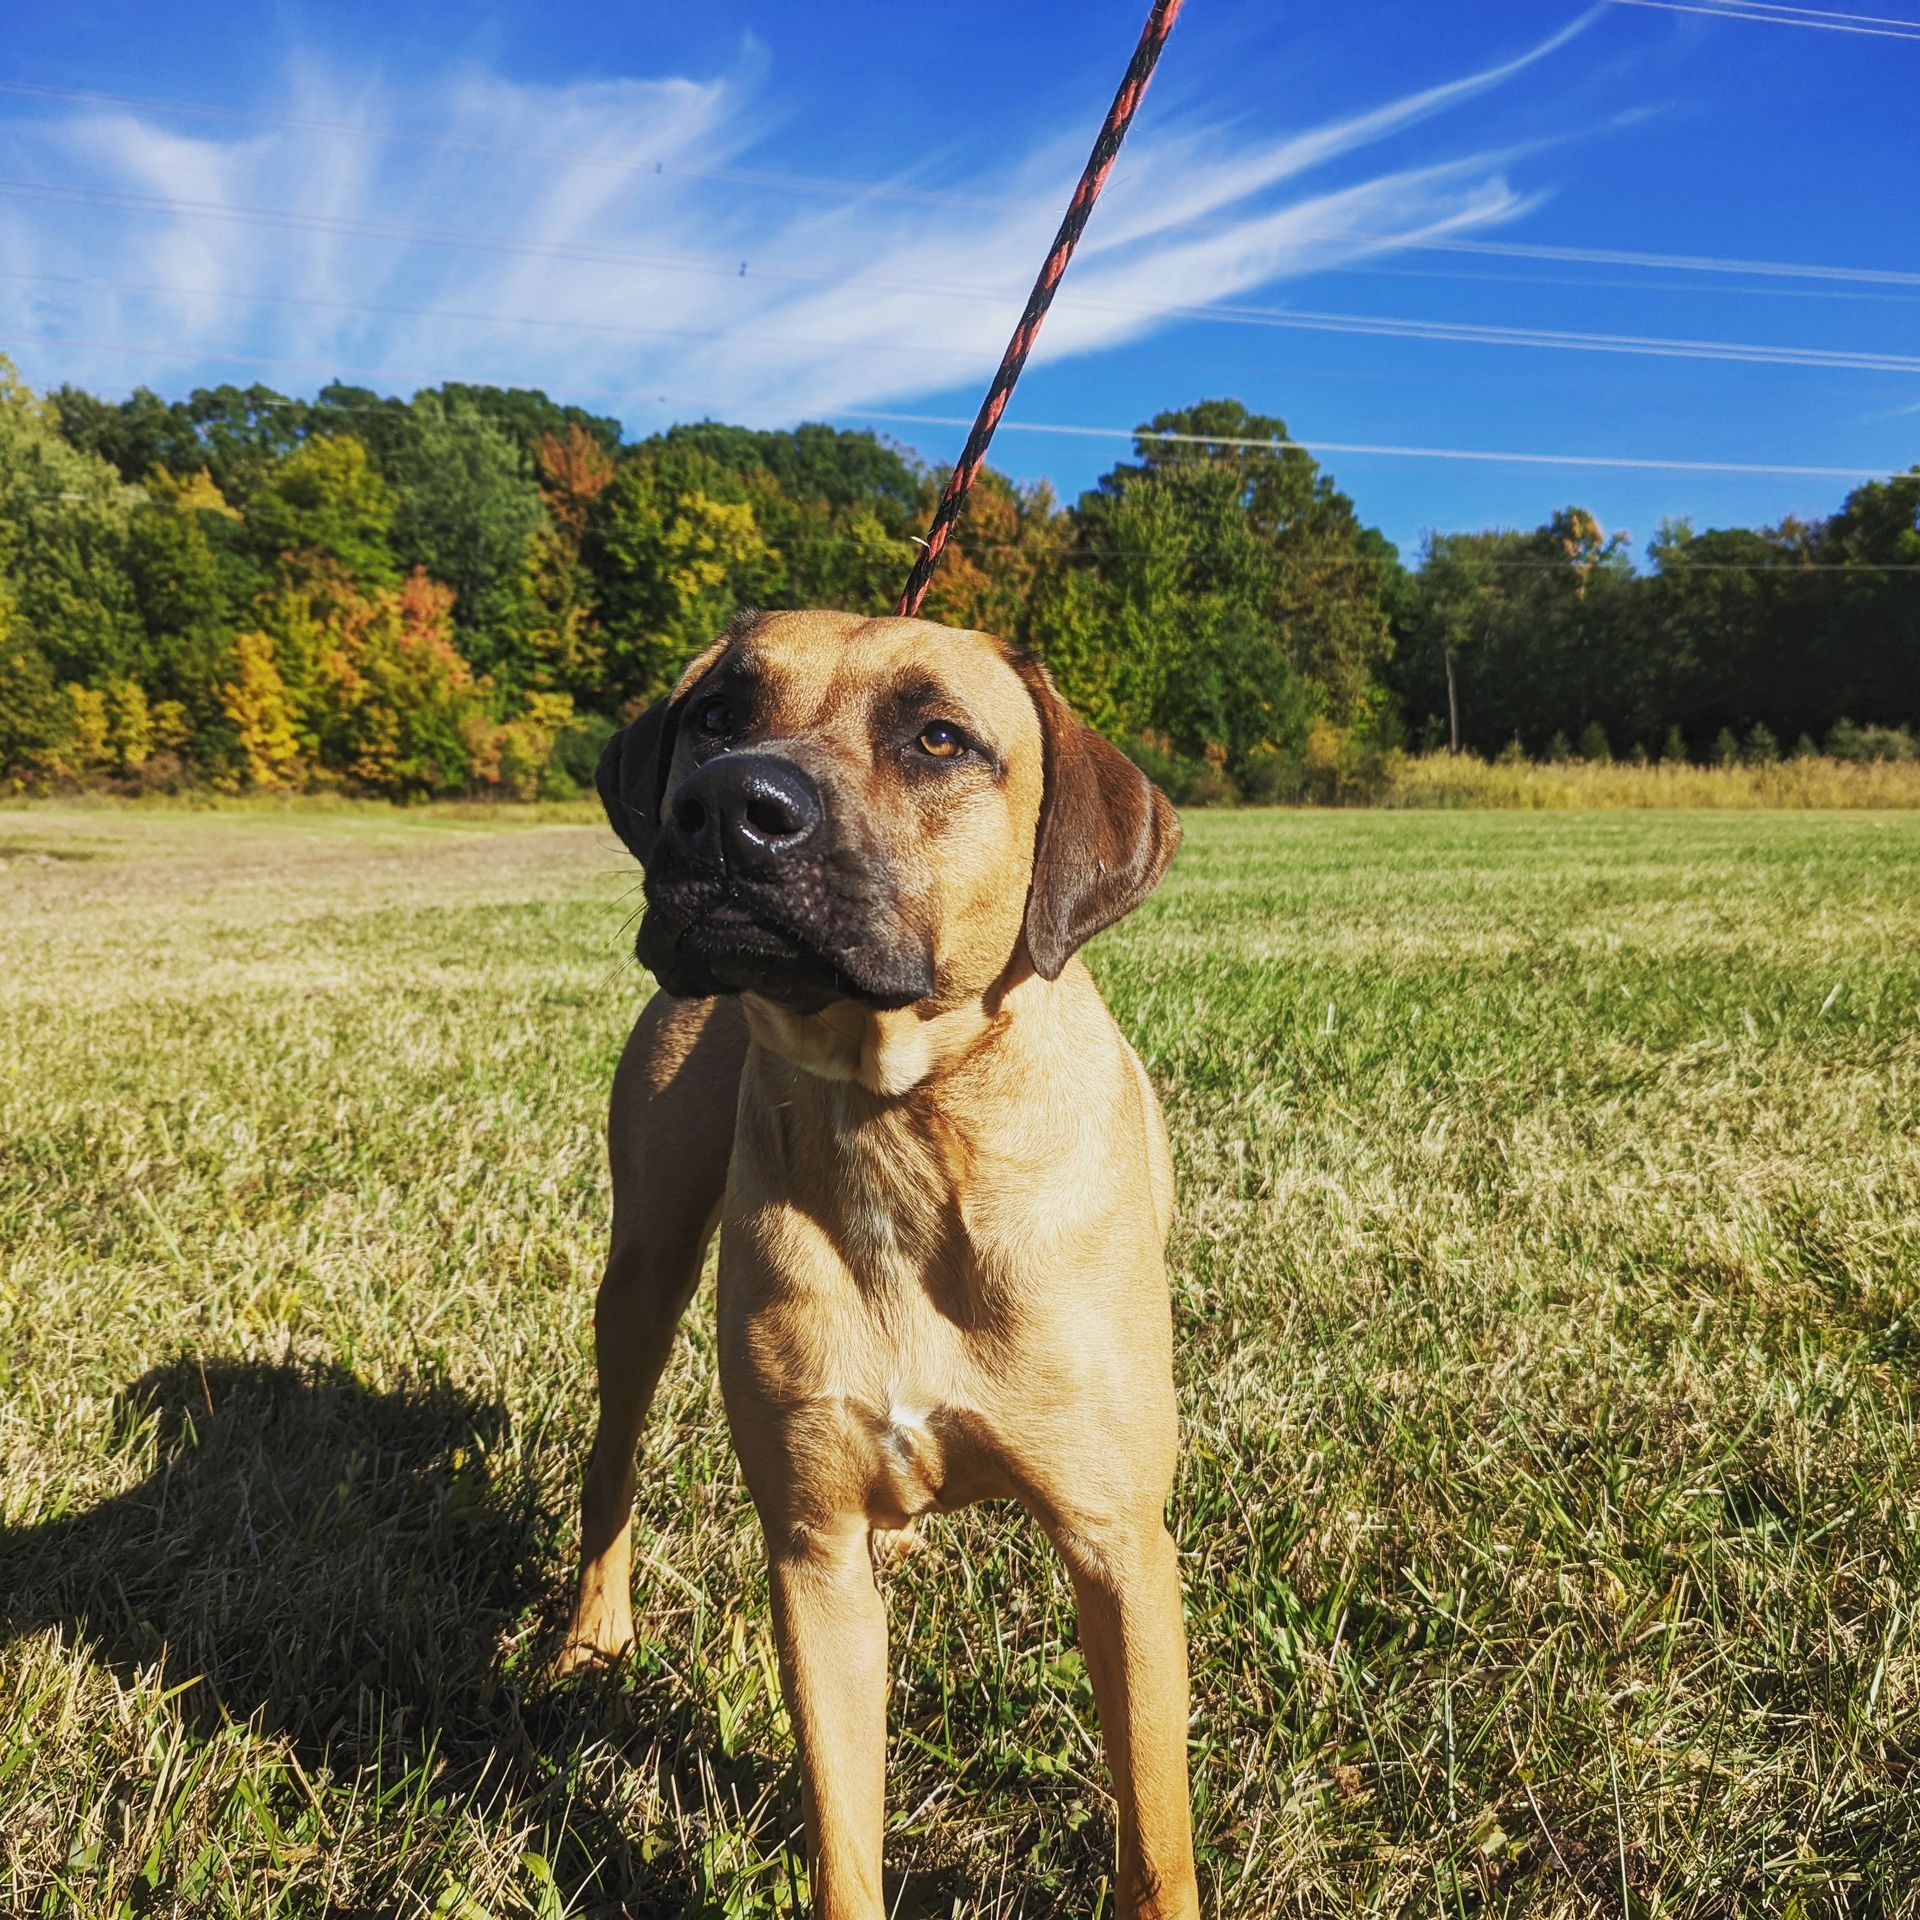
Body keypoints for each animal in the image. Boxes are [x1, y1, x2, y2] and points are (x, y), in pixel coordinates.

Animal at [549, 610, 1198, 1920]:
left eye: (940, 738)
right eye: (718, 712)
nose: (723, 806)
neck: (899, 1121)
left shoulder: (1121, 1543)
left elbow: (1155, 1844)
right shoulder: (812, 1553)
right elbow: (843, 1830)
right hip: (642, 1271)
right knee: (610, 1466)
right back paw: (591, 1635)